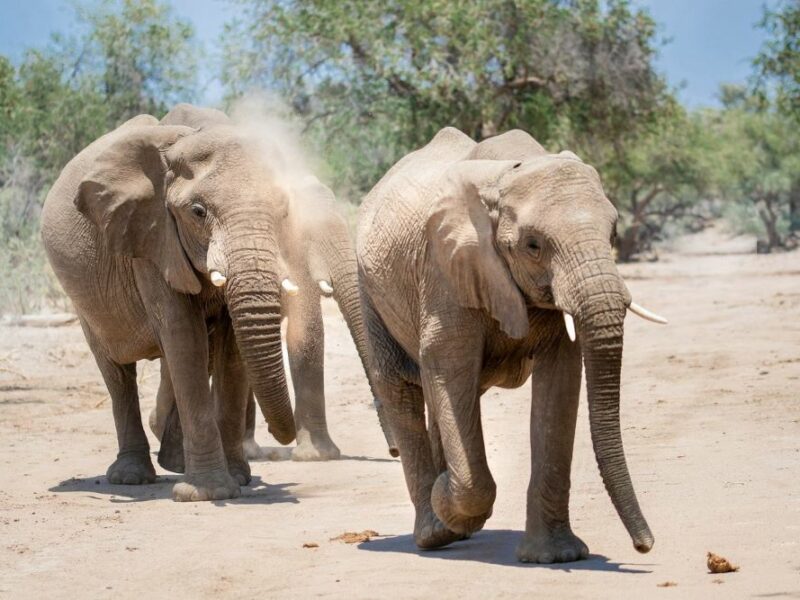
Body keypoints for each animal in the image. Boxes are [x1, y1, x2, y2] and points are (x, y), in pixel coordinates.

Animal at [41, 103, 389, 502]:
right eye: (197, 211)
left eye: (282, 210)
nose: (394, 452)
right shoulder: (151, 237)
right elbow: (183, 337)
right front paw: (208, 492)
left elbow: (233, 349)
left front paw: (238, 478)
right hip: (87, 300)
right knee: (117, 370)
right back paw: (133, 476)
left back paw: (175, 461)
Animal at [356, 127, 667, 562]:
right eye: (533, 246)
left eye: (614, 234)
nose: (644, 546)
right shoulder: (445, 269)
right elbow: (447, 365)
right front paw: (446, 499)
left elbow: (561, 381)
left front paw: (556, 557)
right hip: (370, 287)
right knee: (400, 384)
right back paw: (435, 533)